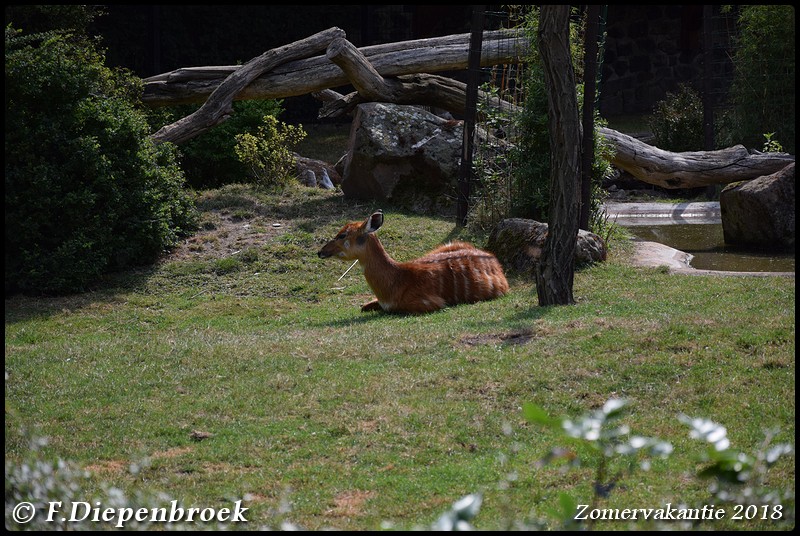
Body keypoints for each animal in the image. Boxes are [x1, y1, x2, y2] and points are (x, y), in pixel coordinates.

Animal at [318, 210, 510, 314]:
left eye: (342, 235)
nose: (320, 252)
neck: (396, 280)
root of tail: (494, 260)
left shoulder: (431, 303)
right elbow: (363, 306)